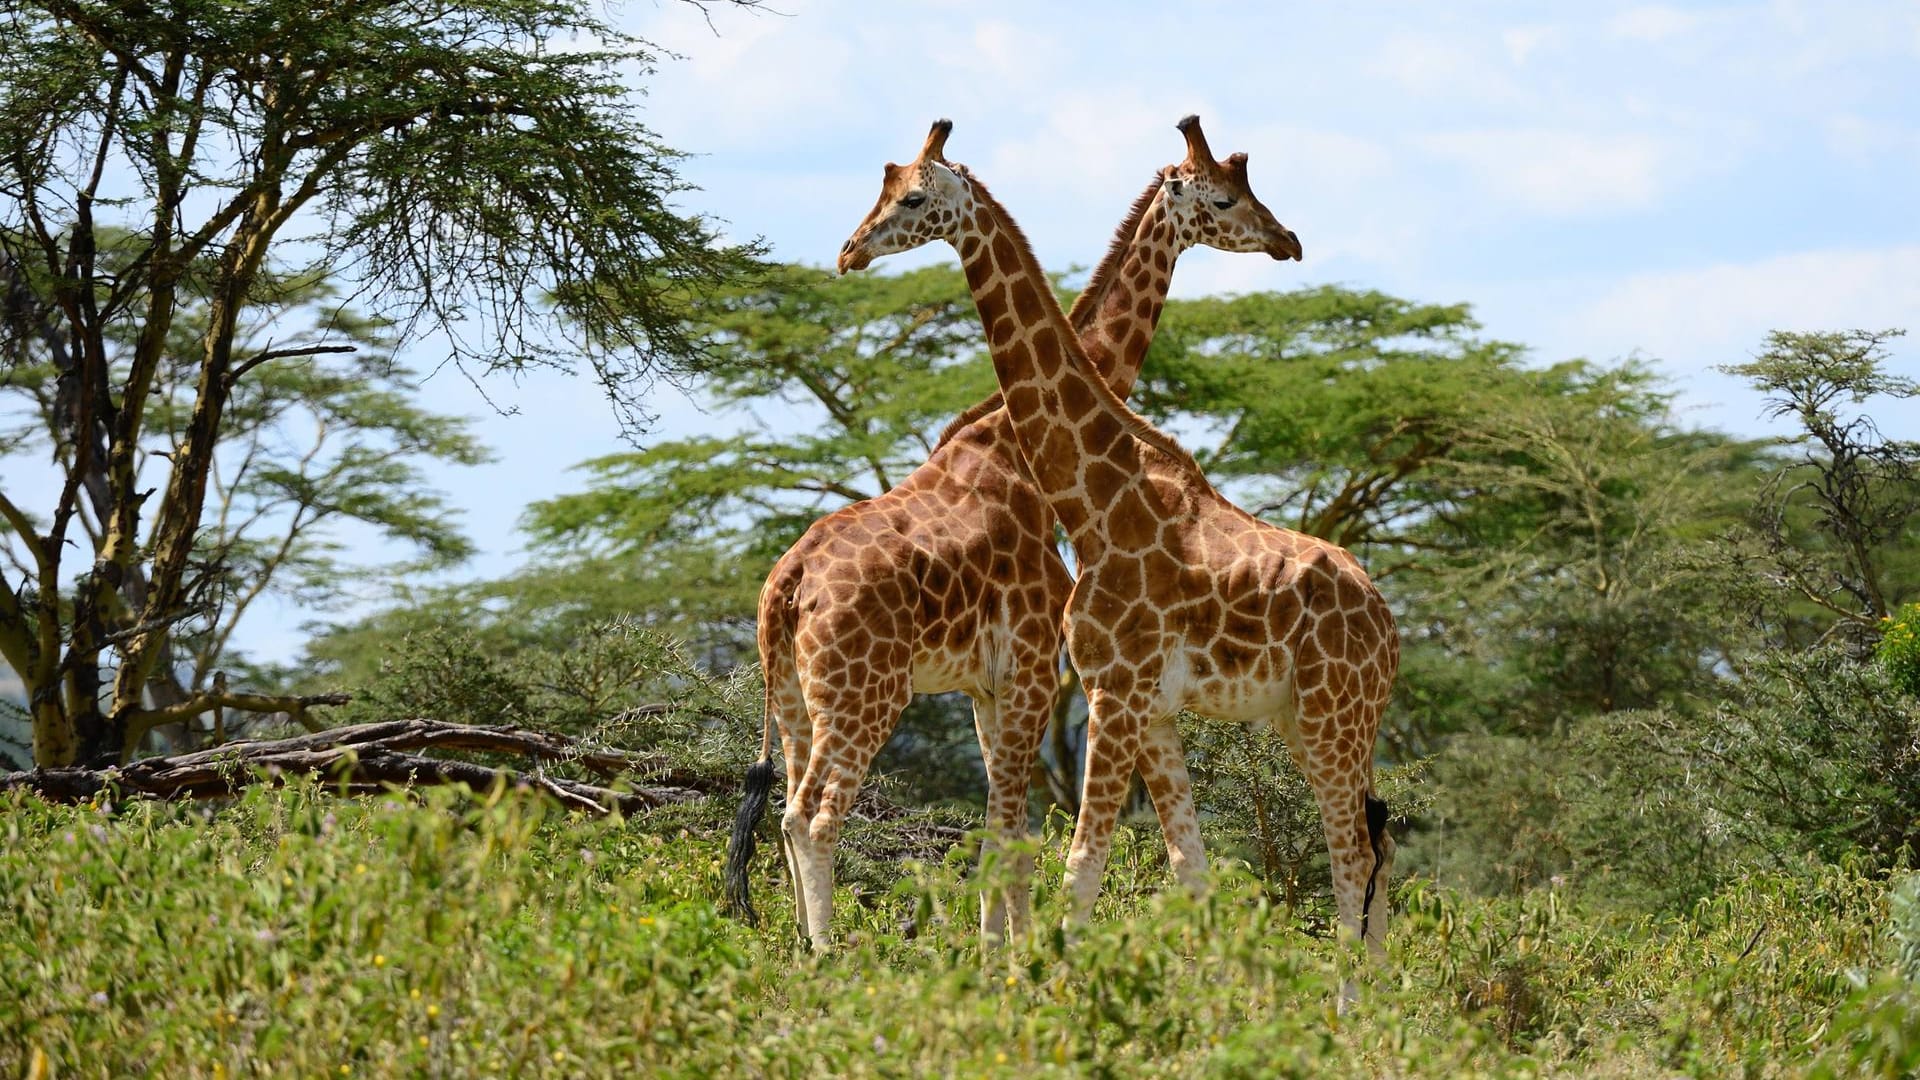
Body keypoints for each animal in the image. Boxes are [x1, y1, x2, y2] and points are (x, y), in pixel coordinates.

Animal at [721, 113, 1305, 945]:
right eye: (1224, 199)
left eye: (904, 195)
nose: (1288, 239)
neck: (1020, 457)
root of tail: (785, 585)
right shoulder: (1032, 663)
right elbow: (1014, 832)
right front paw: (1010, 955)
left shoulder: (987, 684)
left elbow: (1005, 831)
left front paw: (994, 949)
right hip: (867, 691)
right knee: (811, 817)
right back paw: (828, 954)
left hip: (798, 699)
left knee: (782, 811)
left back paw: (802, 947)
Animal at [833, 117, 1405, 957]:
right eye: (885, 186)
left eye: (911, 197)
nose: (849, 251)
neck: (1094, 505)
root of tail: (1388, 625)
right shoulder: (1143, 704)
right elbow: (1185, 865)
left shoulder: (1115, 693)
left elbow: (1080, 866)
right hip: (1311, 721)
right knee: (1378, 842)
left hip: (1334, 715)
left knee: (1355, 851)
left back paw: (1352, 990)